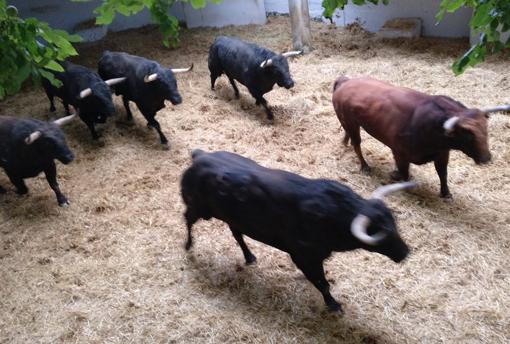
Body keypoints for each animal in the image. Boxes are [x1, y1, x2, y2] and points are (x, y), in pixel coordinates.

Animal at [179, 150, 414, 312]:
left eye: (394, 224)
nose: (405, 252)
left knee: (237, 234)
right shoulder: (303, 257)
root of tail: (199, 156)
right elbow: (322, 284)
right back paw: (188, 245)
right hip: (197, 207)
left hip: (233, 218)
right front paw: (333, 305)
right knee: (188, 220)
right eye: (380, 235)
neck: (336, 214)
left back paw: (249, 257)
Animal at [330, 76, 506, 198]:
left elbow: (443, 174)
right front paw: (397, 179)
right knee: (357, 144)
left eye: (486, 130)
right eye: (468, 135)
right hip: (351, 123)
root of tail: (346, 81)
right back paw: (365, 166)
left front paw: (446, 193)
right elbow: (404, 173)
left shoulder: (442, 154)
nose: (486, 158)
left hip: (350, 123)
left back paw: (344, 143)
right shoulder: (399, 153)